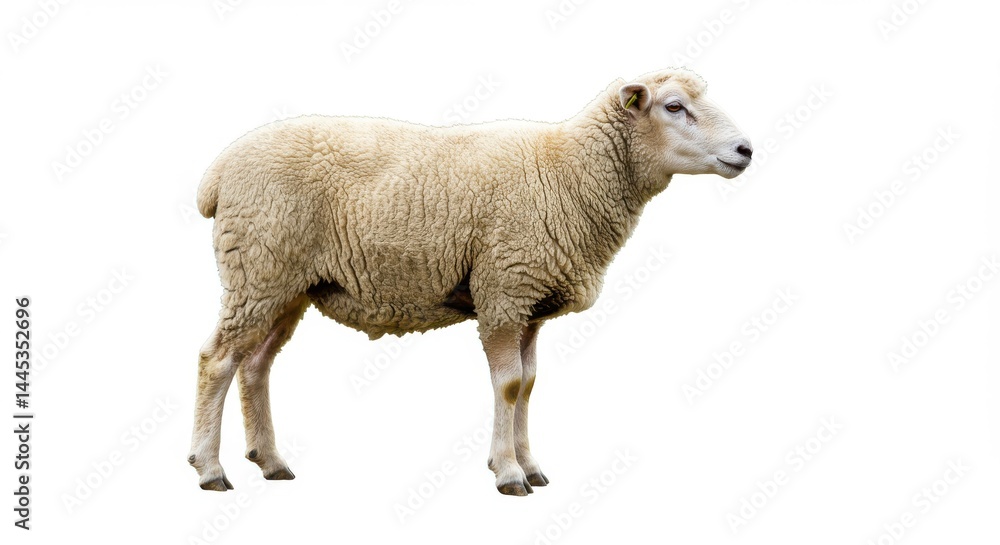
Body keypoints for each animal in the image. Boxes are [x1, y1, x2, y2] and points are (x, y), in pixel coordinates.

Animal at [188, 68, 752, 496]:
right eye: (674, 106)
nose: (746, 149)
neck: (570, 173)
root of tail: (217, 173)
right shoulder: (503, 290)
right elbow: (508, 385)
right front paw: (508, 474)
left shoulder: (530, 303)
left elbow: (528, 384)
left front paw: (530, 466)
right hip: (259, 266)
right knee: (218, 360)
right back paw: (209, 468)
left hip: (285, 282)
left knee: (255, 364)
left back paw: (270, 461)